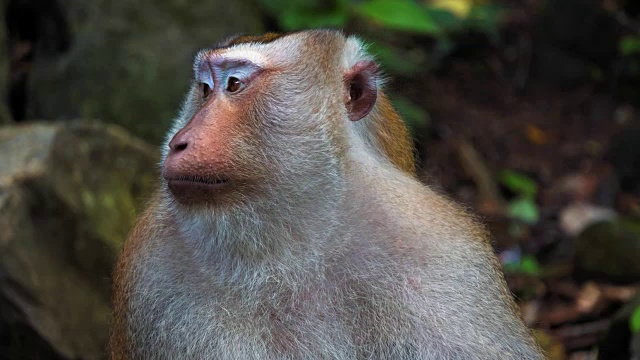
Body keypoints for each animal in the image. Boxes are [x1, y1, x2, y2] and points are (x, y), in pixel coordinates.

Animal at [109, 29, 540, 358]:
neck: (295, 250)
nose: (178, 143)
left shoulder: (442, 257)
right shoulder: (155, 271)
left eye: (234, 84)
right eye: (203, 88)